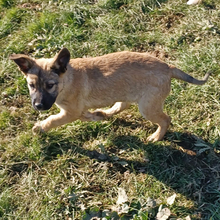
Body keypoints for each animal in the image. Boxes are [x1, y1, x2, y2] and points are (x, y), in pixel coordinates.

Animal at [9, 48, 210, 142]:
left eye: (50, 86)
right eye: (31, 85)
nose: (38, 106)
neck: (67, 80)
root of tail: (168, 67)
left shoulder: (70, 112)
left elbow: (52, 120)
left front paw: (40, 127)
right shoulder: (74, 111)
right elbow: (84, 115)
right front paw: (93, 116)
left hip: (148, 107)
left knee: (166, 119)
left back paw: (157, 136)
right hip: (129, 94)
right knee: (122, 105)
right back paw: (103, 113)